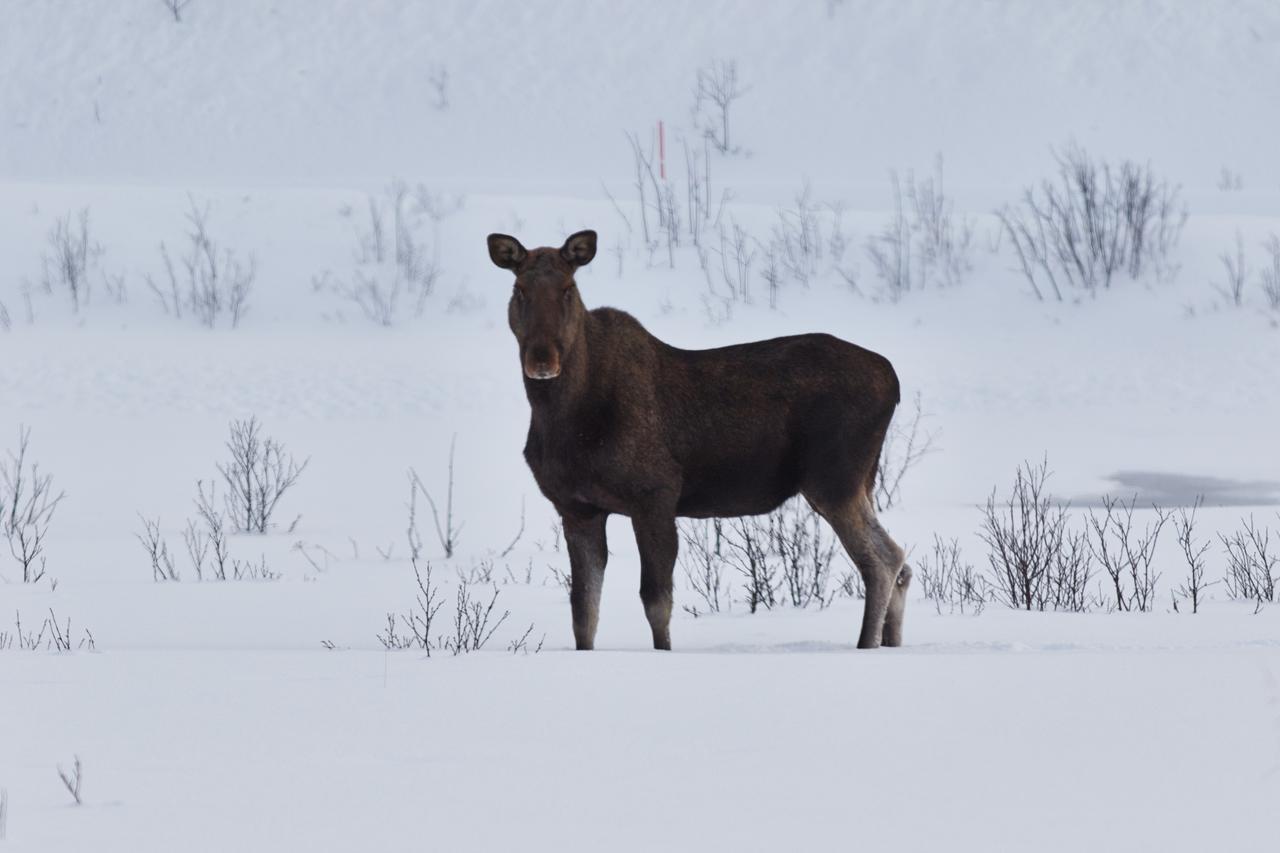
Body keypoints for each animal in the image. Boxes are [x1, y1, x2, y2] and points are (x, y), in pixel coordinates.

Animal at [481, 229, 911, 648]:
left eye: (568, 288)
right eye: (519, 288)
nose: (542, 359)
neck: (567, 421)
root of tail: (892, 378)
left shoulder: (655, 495)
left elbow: (656, 602)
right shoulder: (576, 508)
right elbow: (583, 613)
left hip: (834, 479)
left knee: (884, 559)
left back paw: (867, 644)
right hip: (860, 481)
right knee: (901, 565)